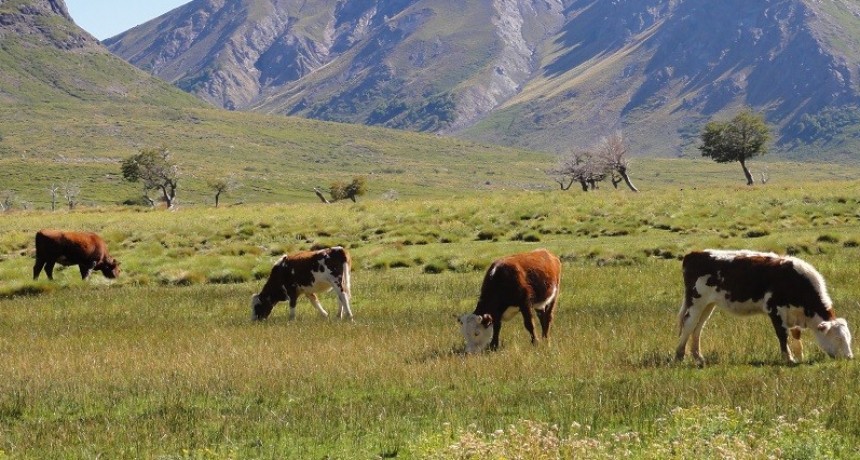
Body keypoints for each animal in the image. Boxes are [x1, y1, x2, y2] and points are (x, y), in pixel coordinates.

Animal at [680, 250, 852, 364]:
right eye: (838, 338)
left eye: (849, 337)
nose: (849, 357)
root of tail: (694, 254)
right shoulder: (775, 310)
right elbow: (782, 335)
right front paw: (789, 359)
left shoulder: (794, 314)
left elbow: (796, 335)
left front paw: (800, 356)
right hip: (696, 301)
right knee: (688, 325)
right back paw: (679, 356)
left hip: (708, 305)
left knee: (698, 328)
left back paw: (698, 357)